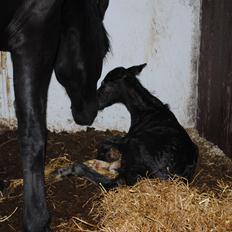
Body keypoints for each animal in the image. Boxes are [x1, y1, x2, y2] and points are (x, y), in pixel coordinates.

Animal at [57, 63, 198, 188]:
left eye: (104, 84)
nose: (93, 105)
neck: (147, 111)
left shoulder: (127, 138)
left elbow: (106, 141)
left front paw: (101, 156)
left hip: (133, 146)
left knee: (115, 182)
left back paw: (69, 170)